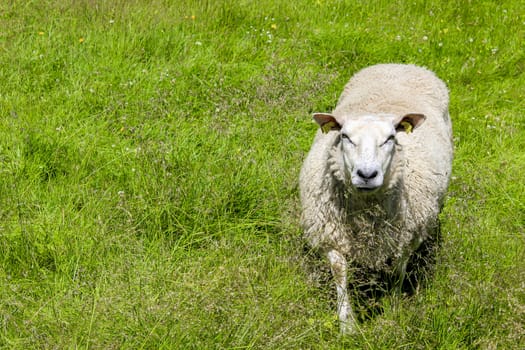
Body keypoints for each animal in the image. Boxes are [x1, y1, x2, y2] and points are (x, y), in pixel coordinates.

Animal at [300, 63, 452, 334]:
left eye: (390, 138)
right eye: (345, 137)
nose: (367, 175)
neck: (366, 215)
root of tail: (400, 64)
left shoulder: (406, 237)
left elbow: (397, 272)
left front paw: (393, 312)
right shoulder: (331, 235)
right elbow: (340, 273)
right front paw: (347, 326)